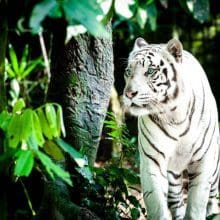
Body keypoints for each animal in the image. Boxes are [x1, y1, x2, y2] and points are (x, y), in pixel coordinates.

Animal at [122, 38, 220, 220]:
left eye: (150, 71)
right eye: (128, 71)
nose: (129, 94)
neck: (174, 116)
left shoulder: (203, 161)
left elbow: (197, 204)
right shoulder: (152, 161)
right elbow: (156, 202)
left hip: (215, 165)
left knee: (212, 198)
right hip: (173, 174)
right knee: (177, 202)